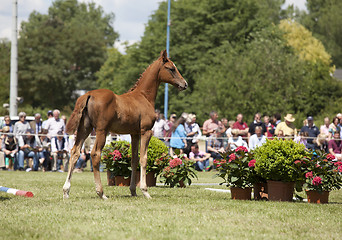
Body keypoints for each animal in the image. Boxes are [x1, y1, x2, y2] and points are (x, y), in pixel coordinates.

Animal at [63, 50, 187, 199]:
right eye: (171, 68)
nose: (184, 84)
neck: (144, 97)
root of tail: (88, 94)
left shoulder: (134, 134)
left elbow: (134, 160)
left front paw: (133, 190)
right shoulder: (146, 131)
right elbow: (143, 159)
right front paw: (145, 191)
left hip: (84, 129)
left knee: (74, 152)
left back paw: (66, 191)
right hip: (101, 131)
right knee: (95, 154)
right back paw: (101, 193)